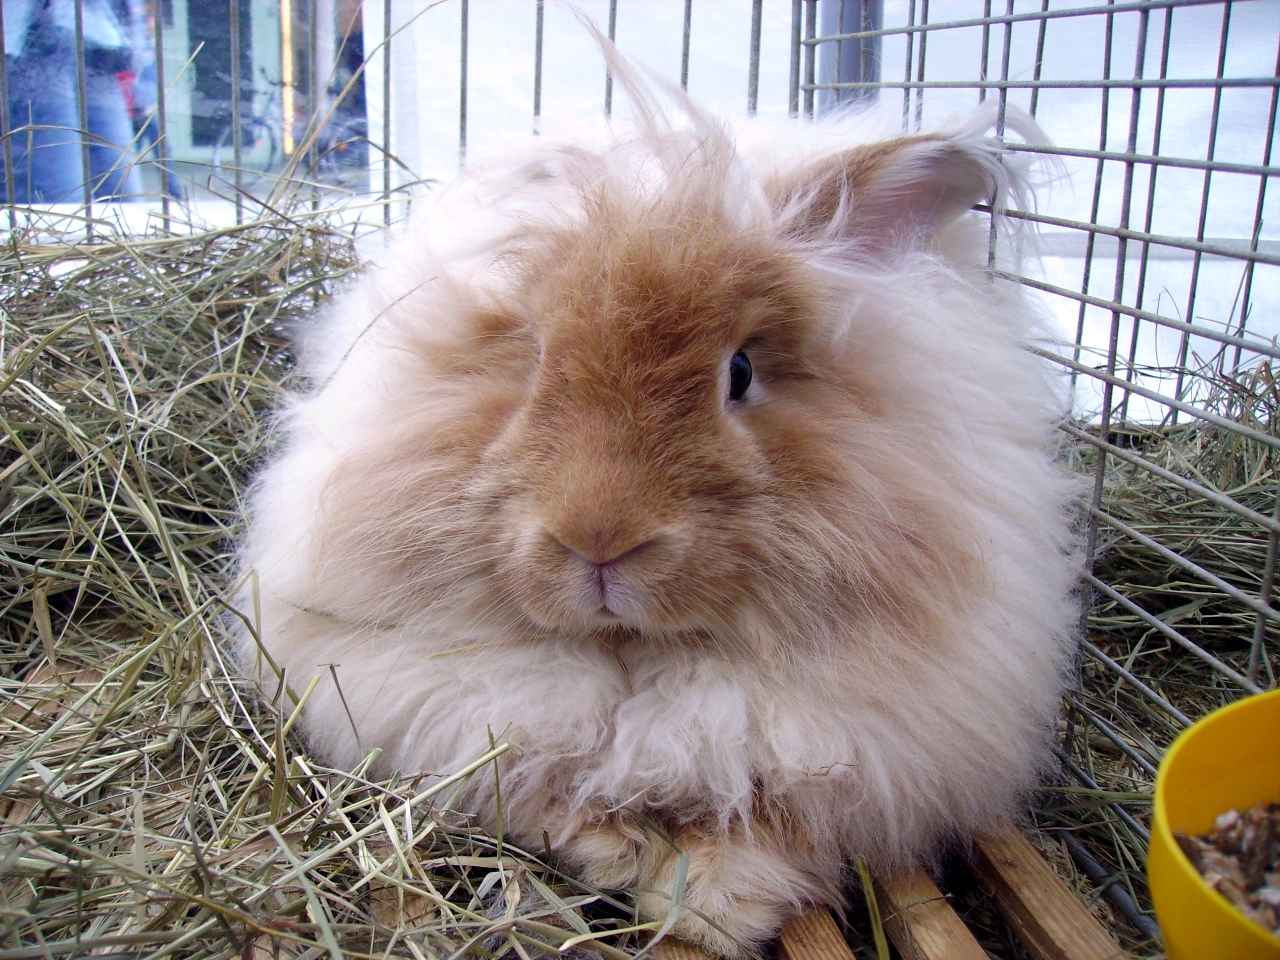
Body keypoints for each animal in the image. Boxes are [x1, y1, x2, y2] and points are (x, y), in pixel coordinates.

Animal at [236, 57, 1081, 959]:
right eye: (535, 356)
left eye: (740, 373)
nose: (599, 542)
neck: (641, 660)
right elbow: (552, 788)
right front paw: (621, 855)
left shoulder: (870, 742)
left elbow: (771, 817)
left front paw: (714, 906)